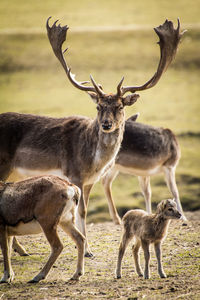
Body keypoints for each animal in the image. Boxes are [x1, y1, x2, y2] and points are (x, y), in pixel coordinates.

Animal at [0, 17, 184, 255]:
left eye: (120, 106)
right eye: (98, 106)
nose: (106, 124)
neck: (93, 161)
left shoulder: (89, 182)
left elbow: (84, 211)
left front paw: (87, 248)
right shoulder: (74, 174)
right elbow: (80, 211)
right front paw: (86, 249)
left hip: (14, 172)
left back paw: (21, 249)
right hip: (3, 165)